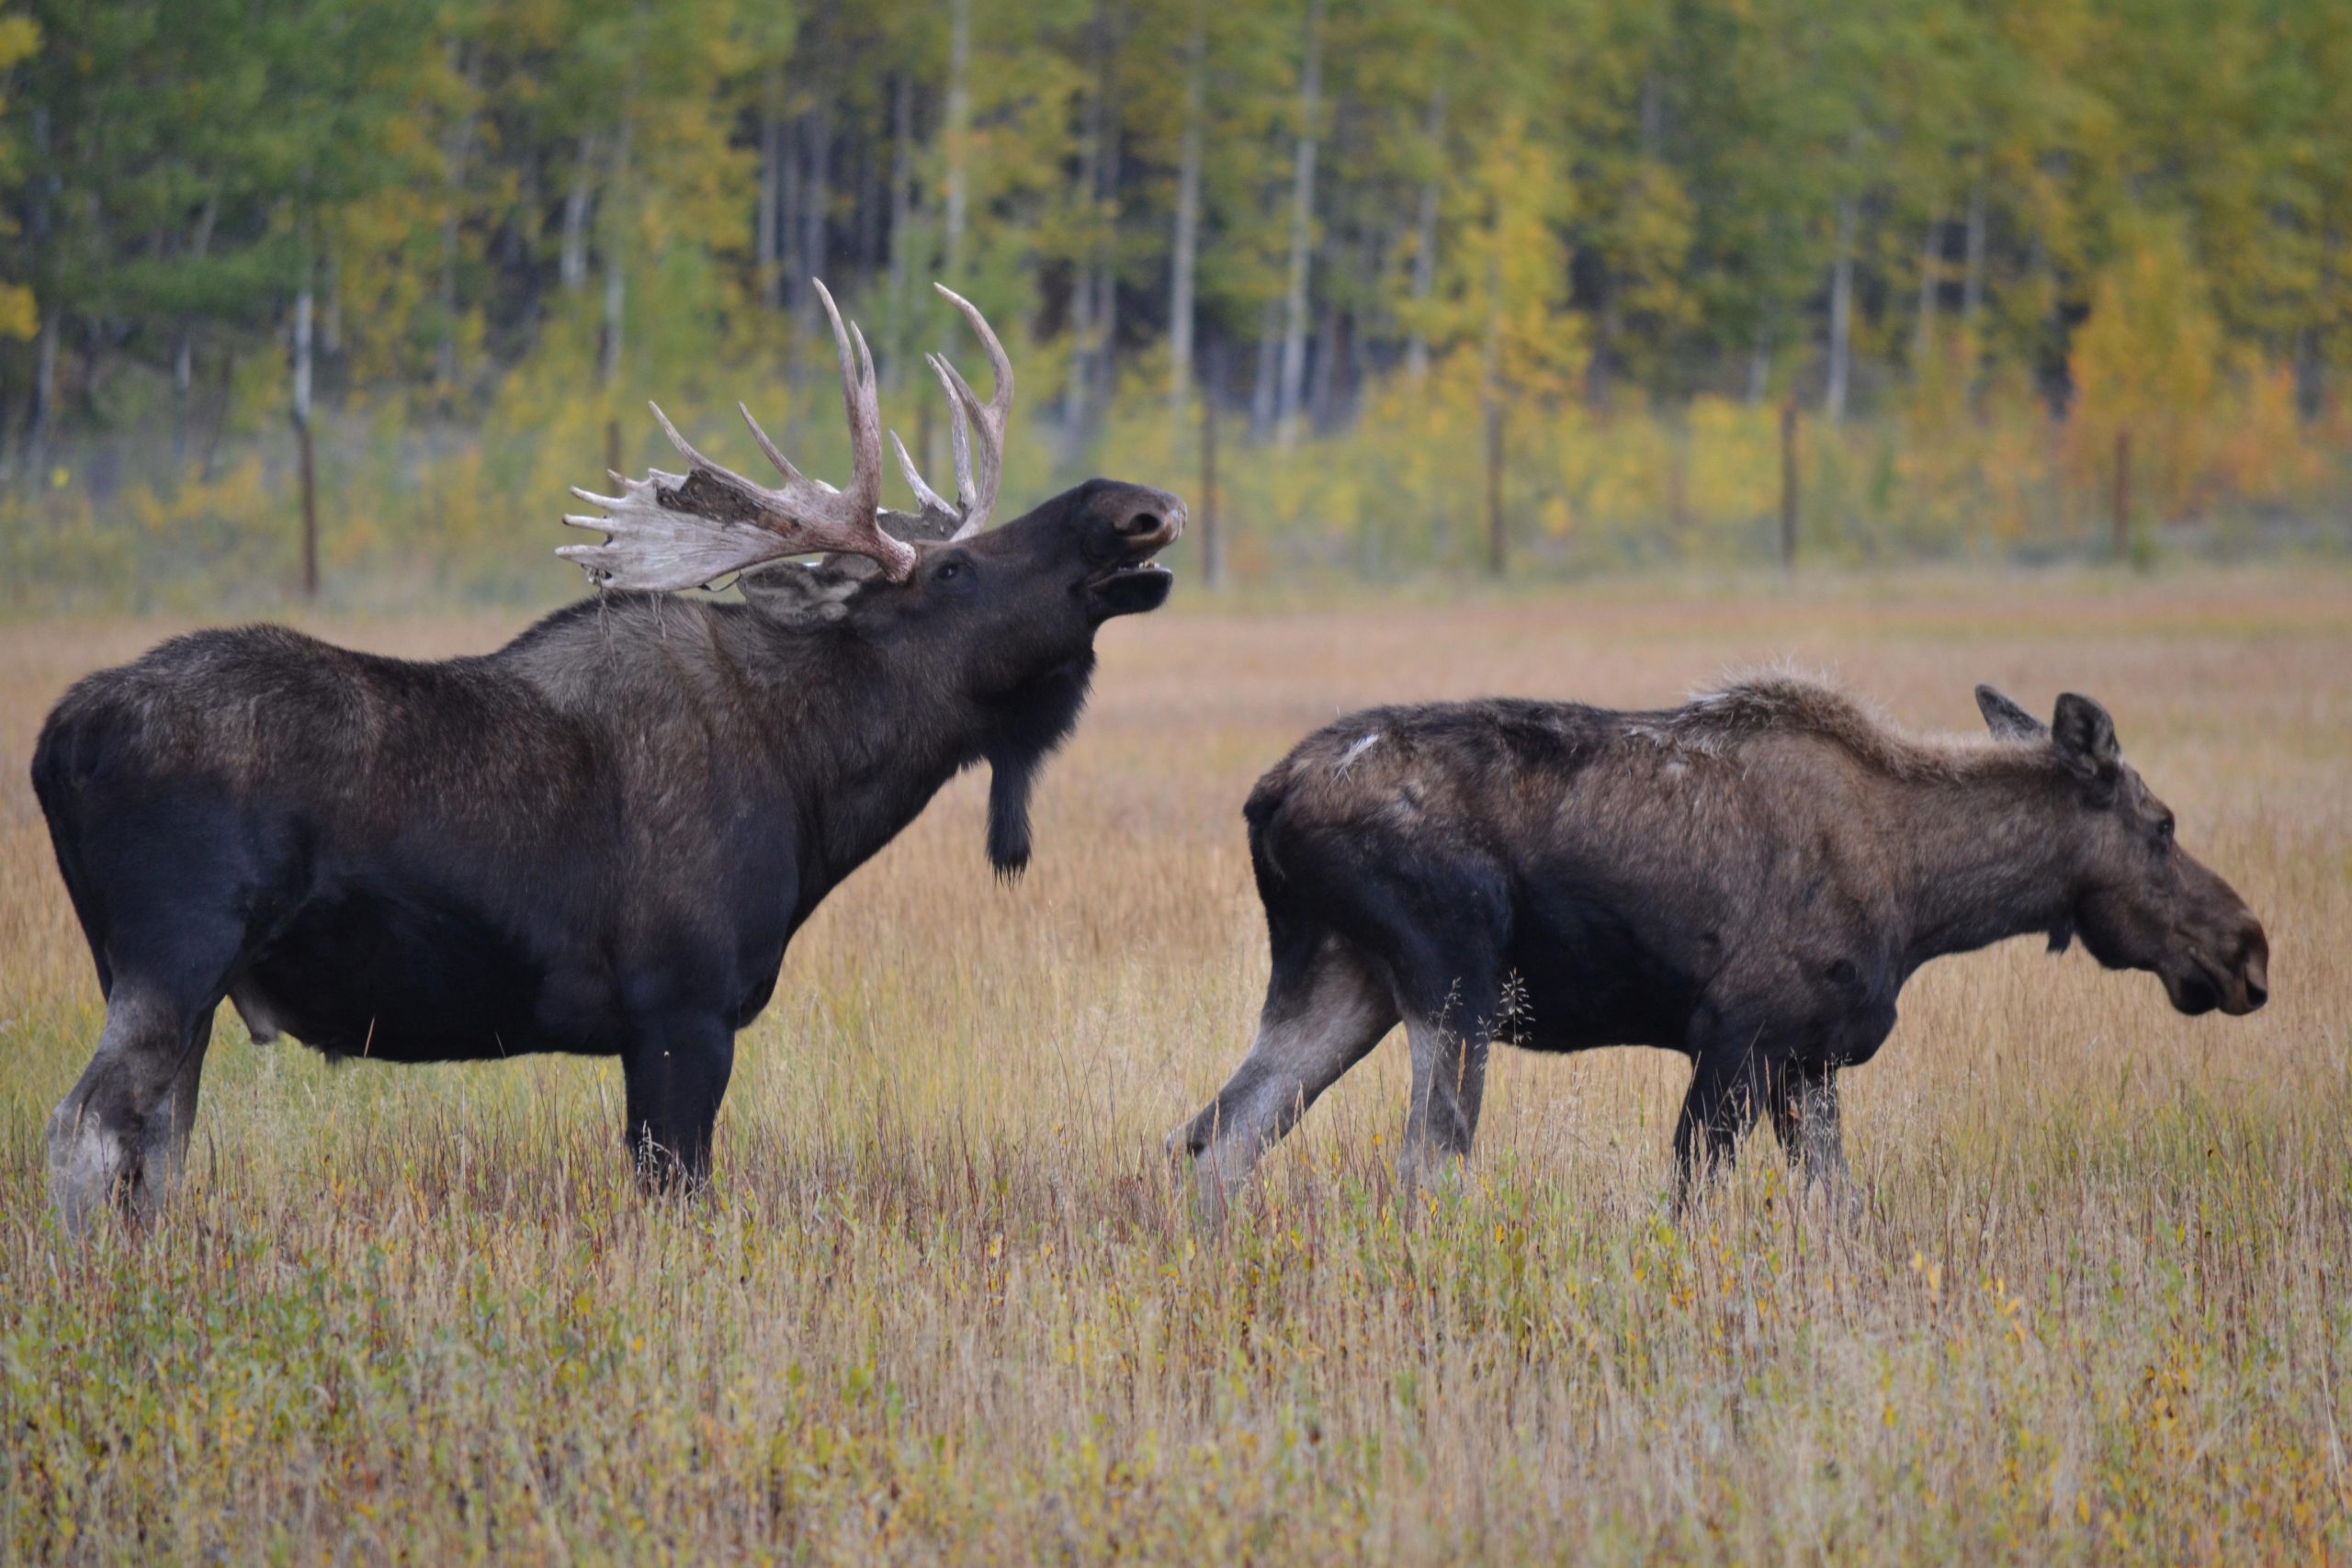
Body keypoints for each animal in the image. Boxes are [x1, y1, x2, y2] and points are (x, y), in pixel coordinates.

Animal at [51, 285, 1194, 1241]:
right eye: (955, 568)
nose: (1130, 507)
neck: (815, 783)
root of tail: (60, 736)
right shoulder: (682, 1006)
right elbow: (676, 1191)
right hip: (175, 952)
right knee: (86, 1131)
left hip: (167, 976)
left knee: (155, 1149)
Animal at [1176, 677, 2277, 1213]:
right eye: (2162, 824)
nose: (2249, 951)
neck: (1926, 901)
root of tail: (1267, 797)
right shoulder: (1738, 1040)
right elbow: (1692, 1202)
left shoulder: (1809, 1063)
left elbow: (1838, 1207)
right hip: (1454, 977)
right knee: (1428, 1163)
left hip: (1341, 980)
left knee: (1220, 1137)